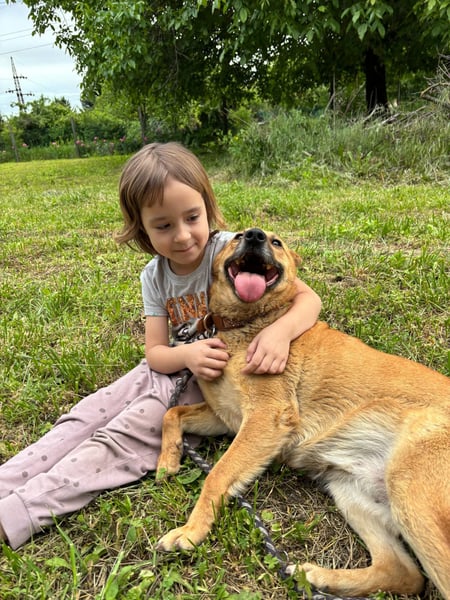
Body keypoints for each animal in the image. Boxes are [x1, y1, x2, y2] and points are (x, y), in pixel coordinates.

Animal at [156, 228, 450, 598]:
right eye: (238, 236)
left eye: (276, 242)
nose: (254, 236)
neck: (248, 323)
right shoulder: (224, 417)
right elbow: (172, 414)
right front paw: (167, 460)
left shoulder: (265, 418)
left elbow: (217, 474)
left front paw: (191, 531)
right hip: (351, 492)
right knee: (403, 573)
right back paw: (315, 576)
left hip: (411, 491)